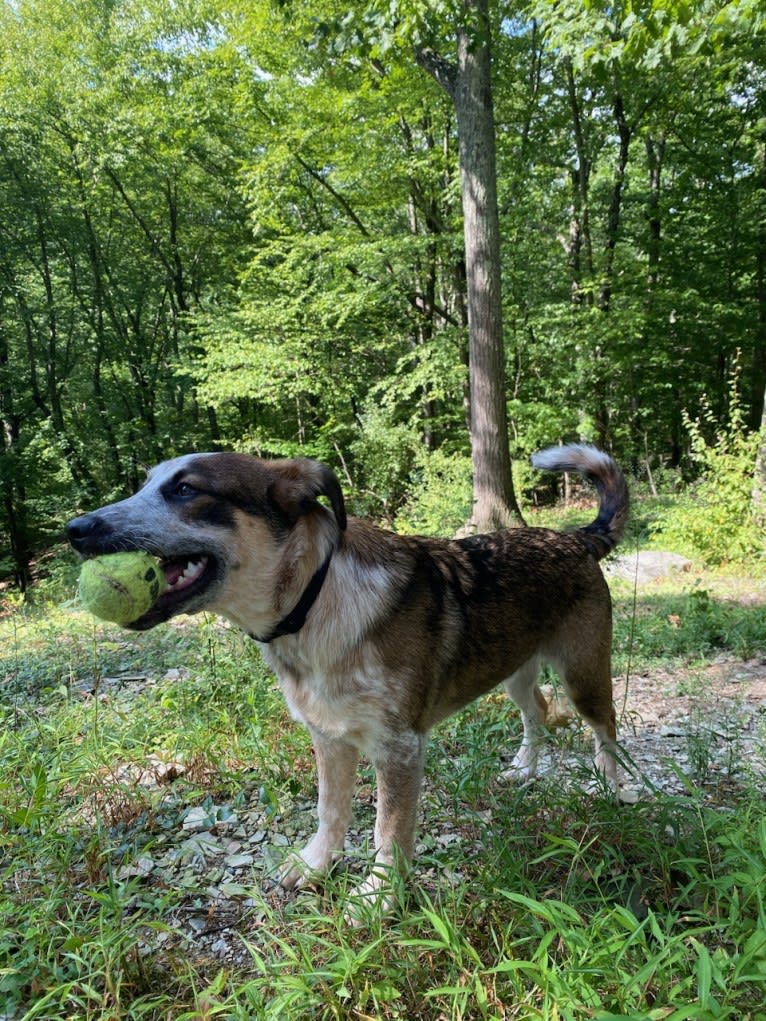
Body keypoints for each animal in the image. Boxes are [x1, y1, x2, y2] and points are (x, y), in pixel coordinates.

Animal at [65, 447, 629, 918]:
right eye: (146, 484)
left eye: (185, 488)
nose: (76, 528)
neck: (315, 601)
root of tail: (576, 536)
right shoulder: (328, 736)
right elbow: (330, 809)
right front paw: (315, 866)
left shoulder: (398, 746)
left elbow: (387, 830)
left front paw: (378, 896)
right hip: (513, 669)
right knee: (537, 711)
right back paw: (525, 767)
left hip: (582, 673)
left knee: (605, 727)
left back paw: (613, 787)